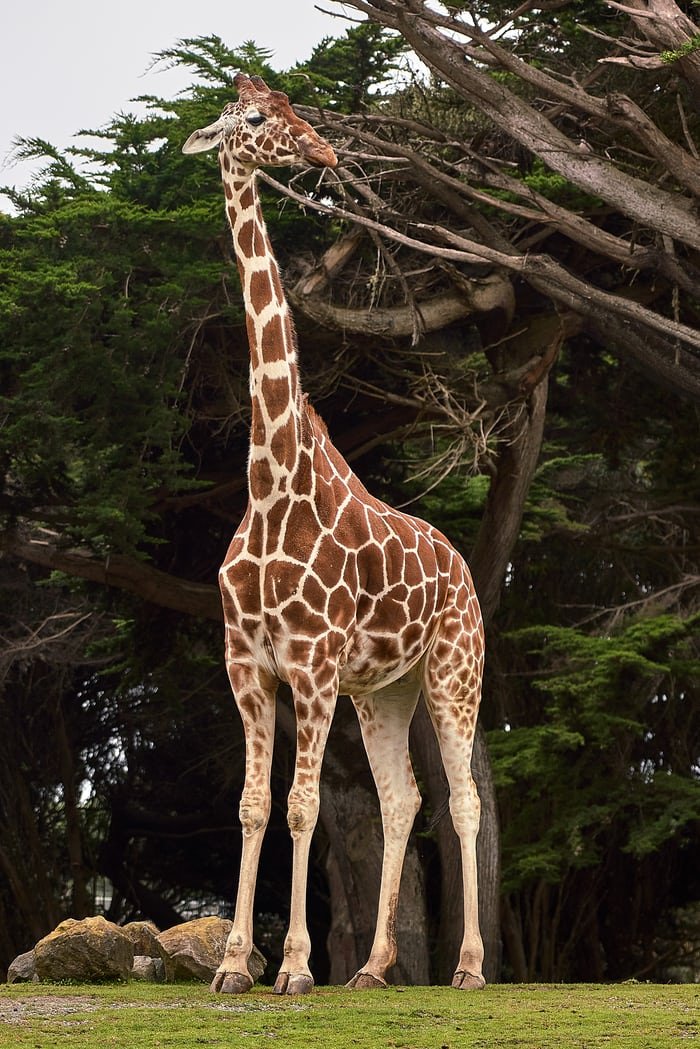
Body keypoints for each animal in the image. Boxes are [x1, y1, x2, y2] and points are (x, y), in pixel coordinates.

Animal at [183, 72, 485, 996]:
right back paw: (376, 967)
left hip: (454, 669)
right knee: (402, 798)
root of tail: (464, 568)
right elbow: (253, 804)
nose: (321, 152)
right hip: (381, 691)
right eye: (254, 118)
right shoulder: (248, 665)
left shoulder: (311, 664)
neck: (271, 483)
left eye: (294, 107)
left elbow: (303, 804)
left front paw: (292, 968)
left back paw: (468, 966)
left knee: (462, 798)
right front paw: (234, 965)